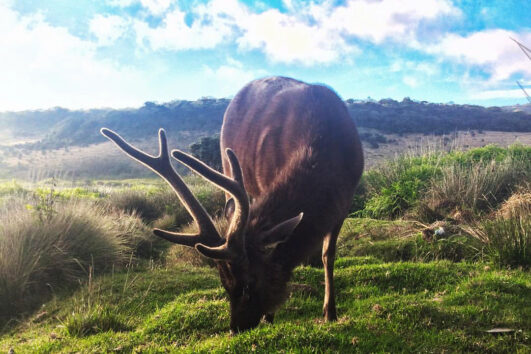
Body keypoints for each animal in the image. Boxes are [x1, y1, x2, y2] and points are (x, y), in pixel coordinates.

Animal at [102, 75, 364, 332]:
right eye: (225, 286)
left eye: (249, 284)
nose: (234, 328)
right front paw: (271, 317)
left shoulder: (344, 202)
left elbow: (328, 254)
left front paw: (330, 313)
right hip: (231, 166)